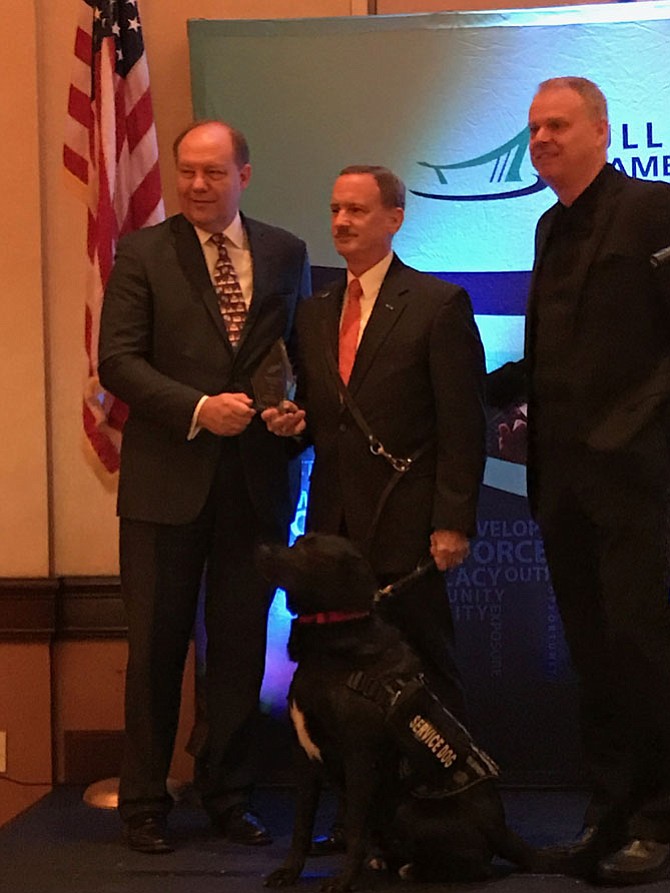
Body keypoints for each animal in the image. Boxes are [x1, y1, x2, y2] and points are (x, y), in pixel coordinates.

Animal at [260, 532, 540, 888]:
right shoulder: (304, 757)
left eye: (309, 550)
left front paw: (343, 880)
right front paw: (289, 872)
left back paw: (417, 869)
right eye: (297, 543)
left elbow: (355, 828)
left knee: (481, 867)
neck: (331, 645)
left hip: (408, 812)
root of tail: (502, 829)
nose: (260, 548)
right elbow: (301, 825)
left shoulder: (359, 757)